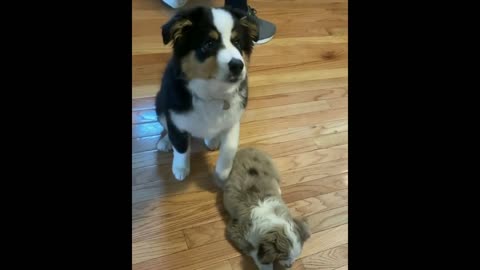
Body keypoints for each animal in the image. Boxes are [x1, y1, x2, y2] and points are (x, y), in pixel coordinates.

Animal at [154, 5, 258, 180]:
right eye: (209, 43)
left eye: (237, 42)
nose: (238, 65)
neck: (211, 93)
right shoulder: (175, 117)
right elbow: (180, 146)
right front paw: (180, 169)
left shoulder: (233, 118)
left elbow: (230, 147)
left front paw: (223, 172)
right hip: (160, 103)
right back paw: (165, 142)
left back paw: (212, 139)